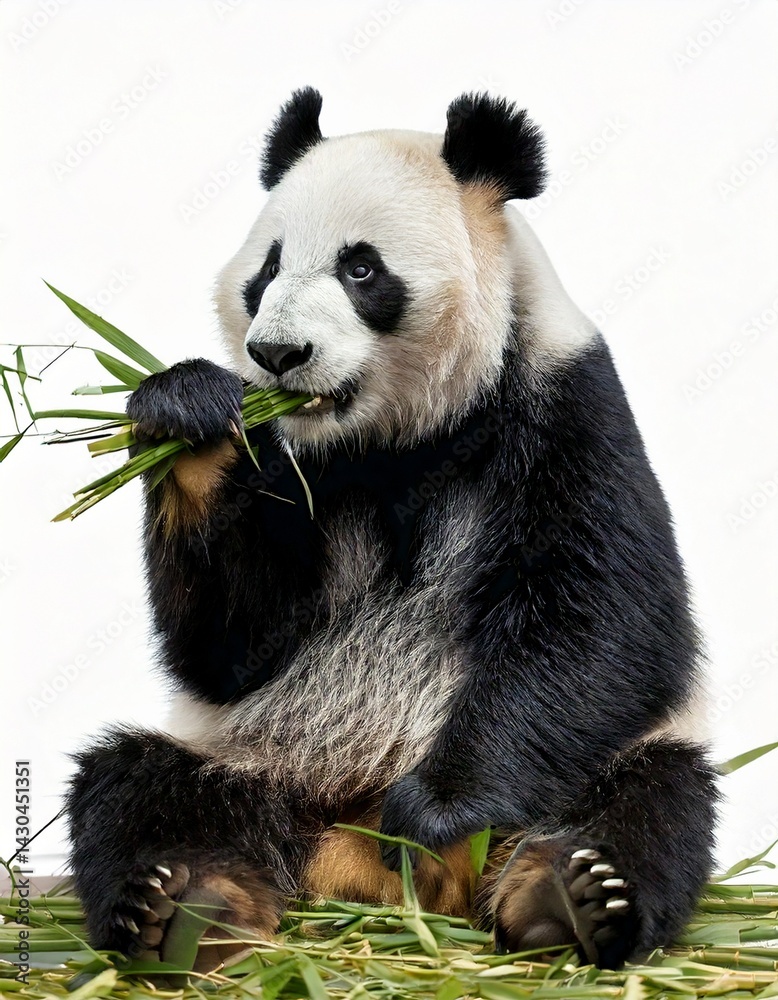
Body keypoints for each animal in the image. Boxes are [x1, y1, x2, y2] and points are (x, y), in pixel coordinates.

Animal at [67, 88, 717, 973]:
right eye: (268, 269)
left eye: (361, 268)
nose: (276, 354)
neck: (397, 437)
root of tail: (357, 863)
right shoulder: (295, 467)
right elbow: (230, 647)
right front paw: (188, 422)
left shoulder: (563, 404)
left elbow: (605, 621)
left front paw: (438, 807)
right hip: (259, 760)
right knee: (136, 784)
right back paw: (183, 906)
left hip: (596, 766)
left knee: (652, 798)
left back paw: (569, 896)